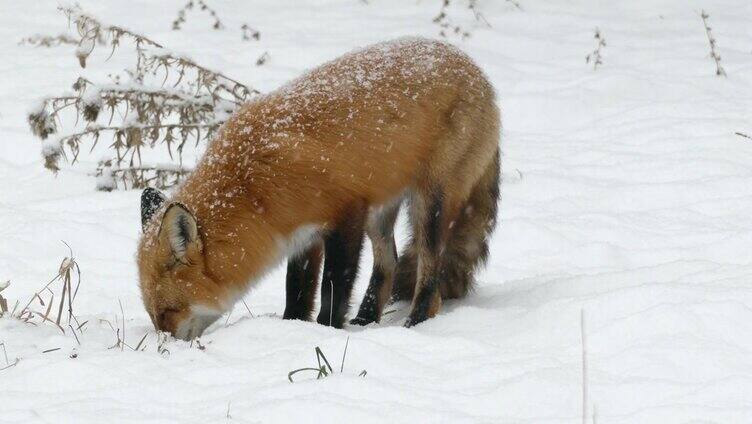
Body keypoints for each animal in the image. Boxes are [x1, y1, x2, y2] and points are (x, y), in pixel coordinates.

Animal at [137, 38, 500, 340]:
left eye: (167, 311)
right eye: (153, 314)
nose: (164, 345)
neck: (253, 186)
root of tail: (479, 72)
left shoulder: (347, 214)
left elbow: (334, 286)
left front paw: (327, 331)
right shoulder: (303, 235)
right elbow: (297, 291)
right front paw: (293, 327)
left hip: (430, 205)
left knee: (430, 273)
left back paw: (415, 322)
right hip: (380, 213)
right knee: (390, 263)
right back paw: (365, 320)